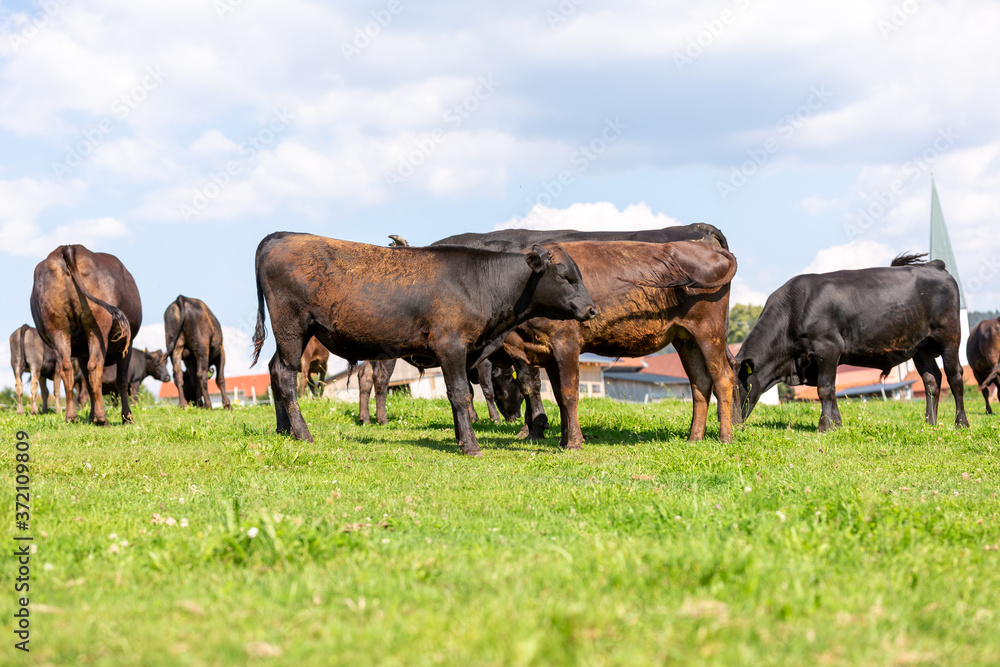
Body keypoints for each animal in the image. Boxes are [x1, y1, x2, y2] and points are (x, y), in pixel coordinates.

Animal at [29, 247, 141, 428]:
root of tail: (68, 247)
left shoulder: (81, 353)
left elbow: (88, 385)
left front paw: (90, 417)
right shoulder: (127, 346)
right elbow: (121, 381)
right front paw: (127, 418)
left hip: (57, 326)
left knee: (66, 367)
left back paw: (71, 417)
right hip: (97, 327)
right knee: (95, 366)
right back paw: (102, 419)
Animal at [250, 232, 596, 456]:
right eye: (565, 276)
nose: (592, 309)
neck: (481, 282)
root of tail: (281, 236)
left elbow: (459, 396)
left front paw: (460, 437)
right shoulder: (452, 346)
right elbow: (460, 394)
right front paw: (471, 445)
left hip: (293, 333)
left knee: (274, 370)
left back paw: (283, 430)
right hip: (292, 327)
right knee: (286, 376)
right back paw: (302, 433)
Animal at [504, 240, 740, 448]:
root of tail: (706, 247)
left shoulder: (566, 345)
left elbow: (570, 394)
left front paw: (574, 442)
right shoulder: (550, 354)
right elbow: (560, 397)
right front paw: (564, 440)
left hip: (709, 333)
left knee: (723, 377)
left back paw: (725, 437)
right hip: (686, 340)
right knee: (700, 382)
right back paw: (694, 438)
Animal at [736, 253, 968, 430]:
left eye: (734, 387)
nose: (732, 424)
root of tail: (933, 265)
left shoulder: (827, 348)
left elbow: (824, 389)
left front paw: (824, 427)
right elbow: (831, 390)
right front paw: (837, 425)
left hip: (949, 337)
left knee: (954, 376)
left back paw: (961, 424)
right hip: (921, 347)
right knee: (931, 380)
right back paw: (930, 424)